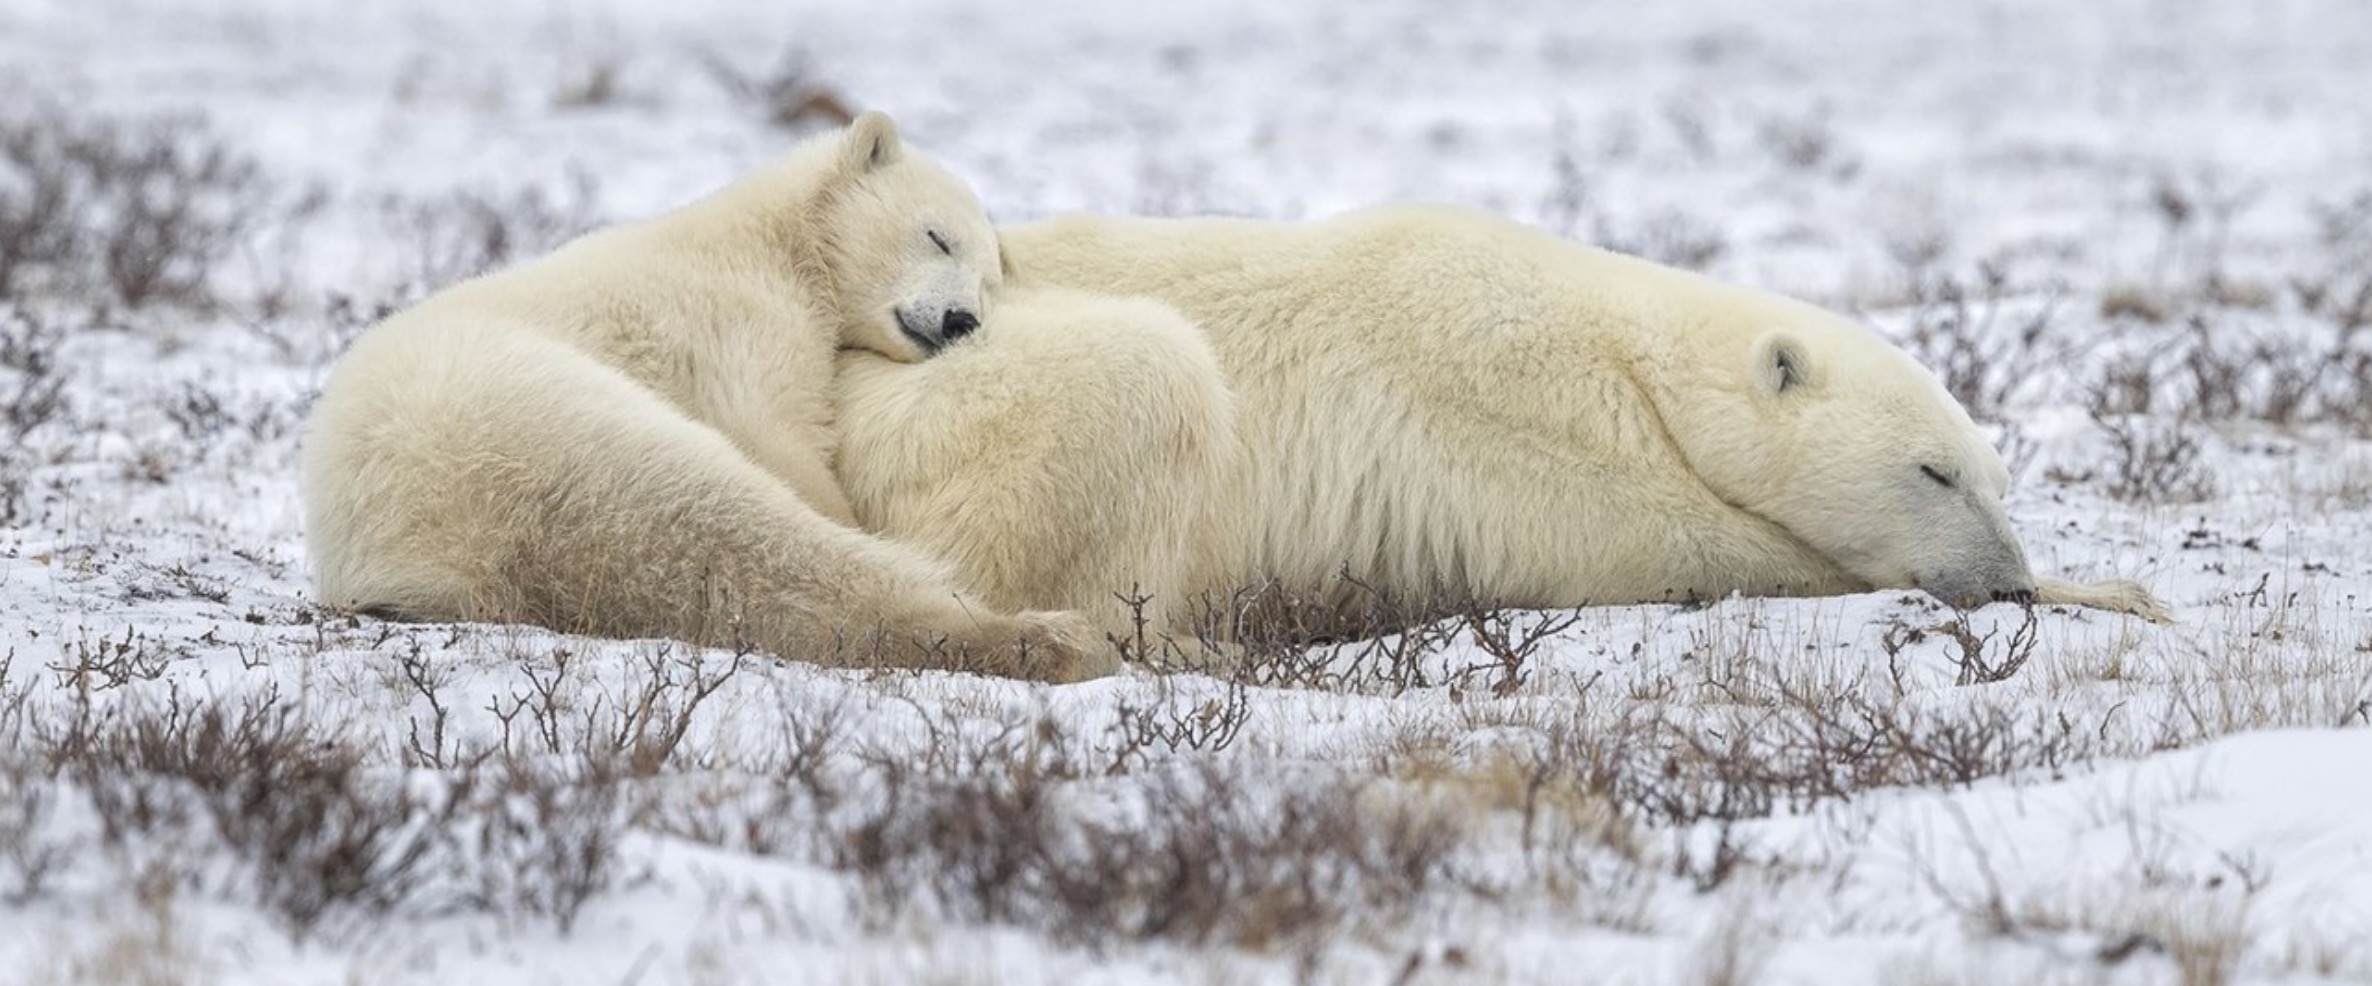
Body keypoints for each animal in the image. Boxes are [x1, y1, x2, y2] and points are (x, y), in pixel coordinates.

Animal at [302, 113, 1115, 682]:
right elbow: (780, 433)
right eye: (938, 237)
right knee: (730, 533)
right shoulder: (739, 321)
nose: (960, 321)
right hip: (535, 417)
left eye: (989, 281)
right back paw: (1051, 638)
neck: (774, 242)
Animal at [833, 203, 2168, 640]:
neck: (1630, 358)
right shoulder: (1499, 411)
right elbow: (1680, 543)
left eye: (1993, 474)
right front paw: (2113, 592)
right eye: (1932, 471)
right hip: (969, 401)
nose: (2004, 579)